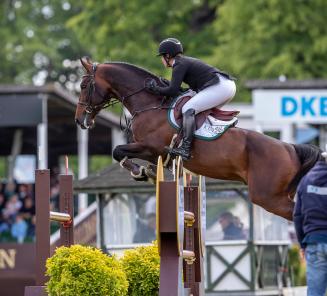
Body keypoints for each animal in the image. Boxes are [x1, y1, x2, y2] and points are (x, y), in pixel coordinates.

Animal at [75, 56, 322, 221]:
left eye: (84, 85)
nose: (80, 120)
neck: (149, 104)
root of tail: (290, 149)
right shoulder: (154, 153)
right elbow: (122, 153)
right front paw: (147, 172)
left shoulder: (151, 147)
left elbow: (118, 151)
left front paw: (141, 172)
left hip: (268, 197)